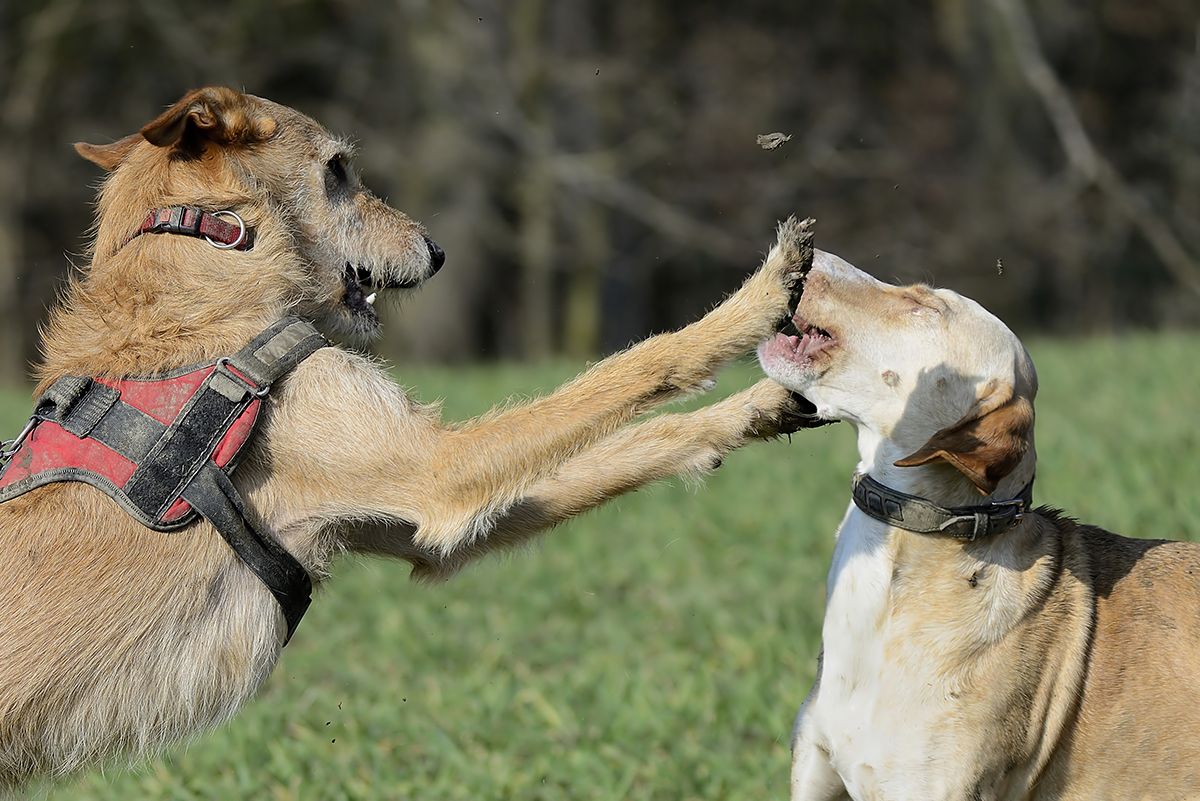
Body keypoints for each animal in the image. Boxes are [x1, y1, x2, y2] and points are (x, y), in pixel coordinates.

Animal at [0, 87, 816, 786]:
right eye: (337, 168)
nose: (439, 250)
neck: (202, 255)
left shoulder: (417, 521)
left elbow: (639, 436)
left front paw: (758, 407)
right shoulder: (438, 469)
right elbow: (637, 363)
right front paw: (757, 298)